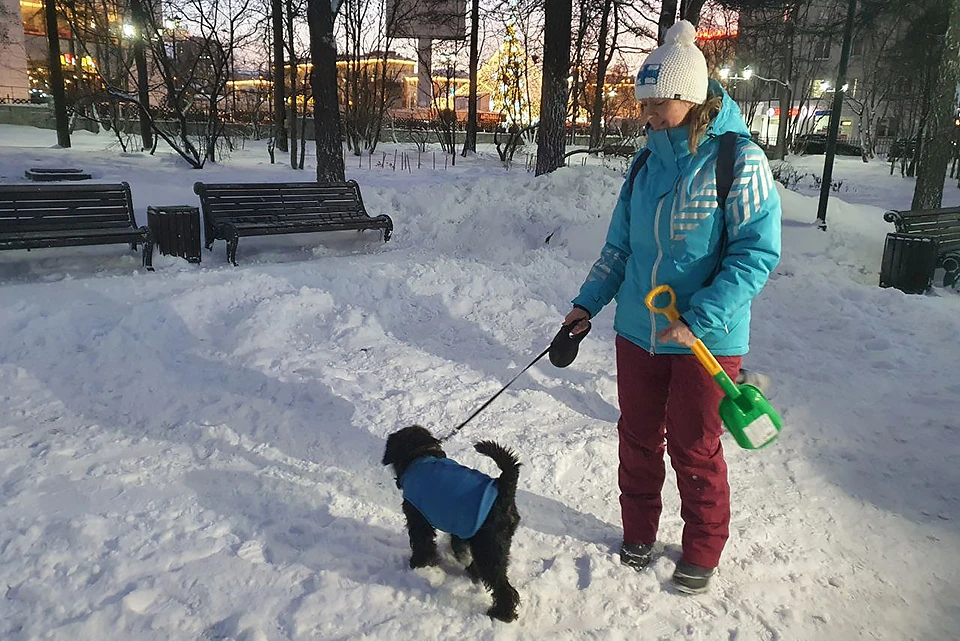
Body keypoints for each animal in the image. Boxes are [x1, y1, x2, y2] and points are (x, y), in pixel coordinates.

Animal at [380, 424, 520, 620]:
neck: (420, 453)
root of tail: (504, 490)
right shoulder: (461, 526)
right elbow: (456, 543)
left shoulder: (418, 519)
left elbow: (422, 543)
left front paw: (420, 564)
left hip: (488, 546)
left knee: (503, 586)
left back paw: (501, 613)